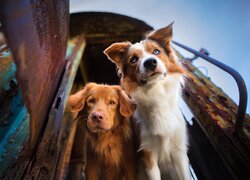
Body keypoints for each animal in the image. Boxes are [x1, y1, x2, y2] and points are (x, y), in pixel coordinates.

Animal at [103, 22, 189, 180]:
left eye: (156, 51)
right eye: (133, 60)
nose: (150, 62)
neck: (156, 92)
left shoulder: (179, 151)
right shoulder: (148, 153)